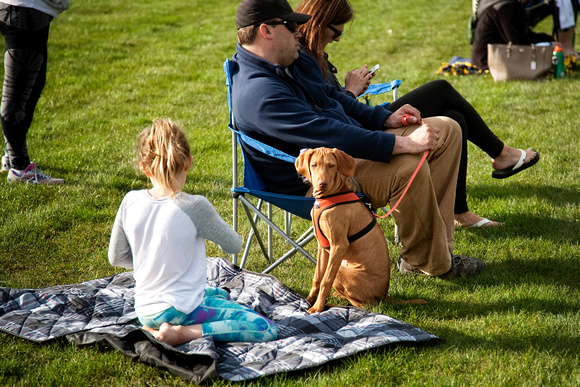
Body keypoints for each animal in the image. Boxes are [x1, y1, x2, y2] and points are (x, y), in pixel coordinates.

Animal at [294, 147, 426, 314]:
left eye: (331, 165)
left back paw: (335, 304)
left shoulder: (339, 245)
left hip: (341, 271)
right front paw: (309, 300)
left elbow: (325, 280)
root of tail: (384, 295)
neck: (329, 196)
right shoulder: (323, 246)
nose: (322, 184)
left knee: (364, 306)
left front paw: (317, 307)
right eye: (314, 165)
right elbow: (317, 277)